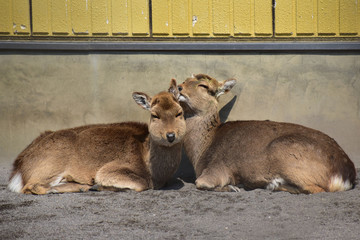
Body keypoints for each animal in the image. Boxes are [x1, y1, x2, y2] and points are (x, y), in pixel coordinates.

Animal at [7, 79, 186, 194]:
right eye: (155, 115)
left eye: (179, 112)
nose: (171, 135)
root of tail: (18, 167)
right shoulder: (111, 168)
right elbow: (141, 183)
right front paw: (99, 185)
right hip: (49, 164)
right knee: (30, 187)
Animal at [176, 74, 356, 194]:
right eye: (185, 80)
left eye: (204, 86)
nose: (178, 87)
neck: (202, 151)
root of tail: (346, 175)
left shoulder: (217, 168)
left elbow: (202, 183)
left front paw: (233, 187)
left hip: (287, 153)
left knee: (316, 189)